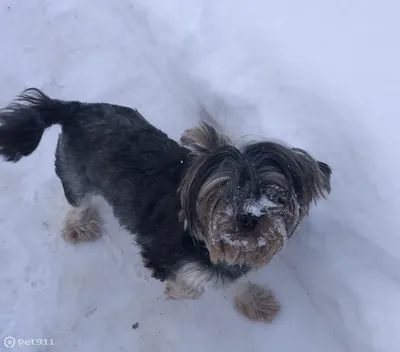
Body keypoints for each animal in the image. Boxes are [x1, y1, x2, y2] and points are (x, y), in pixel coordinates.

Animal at [0, 88, 332, 322]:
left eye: (275, 193)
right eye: (223, 190)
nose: (248, 218)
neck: (204, 238)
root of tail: (76, 108)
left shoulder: (236, 261)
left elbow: (238, 280)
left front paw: (254, 301)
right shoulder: (159, 252)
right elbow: (190, 285)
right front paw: (177, 289)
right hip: (75, 175)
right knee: (78, 201)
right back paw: (80, 226)